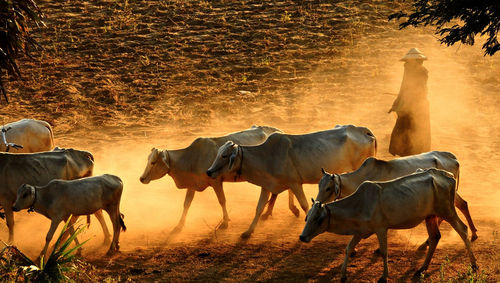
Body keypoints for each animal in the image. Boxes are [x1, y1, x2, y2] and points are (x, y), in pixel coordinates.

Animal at [140, 125, 290, 234]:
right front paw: (179, 225)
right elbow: (186, 204)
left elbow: (222, 200)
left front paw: (225, 222)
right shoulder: (192, 185)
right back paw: (268, 212)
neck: (192, 158)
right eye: (148, 160)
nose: (142, 178)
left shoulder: (216, 182)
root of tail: (280, 130)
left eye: (153, 162)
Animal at [206, 125, 376, 239]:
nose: (209, 171)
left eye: (224, 156)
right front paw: (248, 232)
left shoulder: (295, 183)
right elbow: (259, 208)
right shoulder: (267, 185)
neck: (267, 156)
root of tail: (364, 131)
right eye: (218, 154)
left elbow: (305, 205)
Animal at [298, 170, 478, 282]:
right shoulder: (360, 231)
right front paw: (342, 275)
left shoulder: (380, 229)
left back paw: (474, 264)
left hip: (447, 211)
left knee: (462, 230)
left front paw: (384, 276)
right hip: (430, 217)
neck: (360, 204)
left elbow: (384, 251)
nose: (302, 236)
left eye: (317, 219)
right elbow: (348, 248)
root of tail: (448, 176)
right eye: (307, 218)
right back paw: (422, 268)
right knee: (434, 238)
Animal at [316, 151, 476, 244]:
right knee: (463, 204)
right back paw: (473, 233)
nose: (318, 202)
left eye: (328, 188)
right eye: (319, 185)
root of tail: (453, 158)